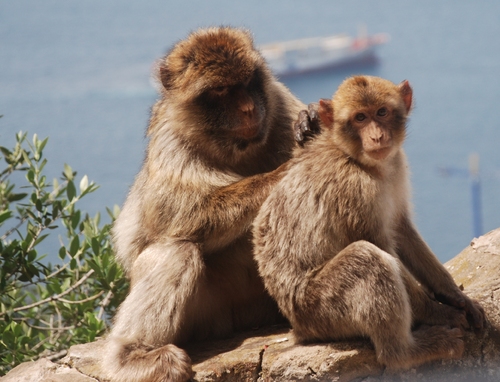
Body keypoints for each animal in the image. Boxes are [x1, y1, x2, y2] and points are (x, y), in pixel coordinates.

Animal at [103, 26, 310, 382]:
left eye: (247, 83)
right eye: (222, 90)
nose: (248, 109)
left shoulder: (278, 103)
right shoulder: (171, 141)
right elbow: (173, 217)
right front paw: (283, 172)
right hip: (205, 316)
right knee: (176, 249)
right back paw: (131, 355)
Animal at [252, 75, 486, 370]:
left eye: (381, 112)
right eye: (360, 118)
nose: (376, 136)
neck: (358, 161)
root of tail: (297, 326)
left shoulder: (395, 166)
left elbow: (401, 229)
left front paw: (456, 296)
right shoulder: (354, 189)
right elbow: (380, 246)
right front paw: (437, 312)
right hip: (318, 310)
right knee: (366, 258)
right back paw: (404, 352)